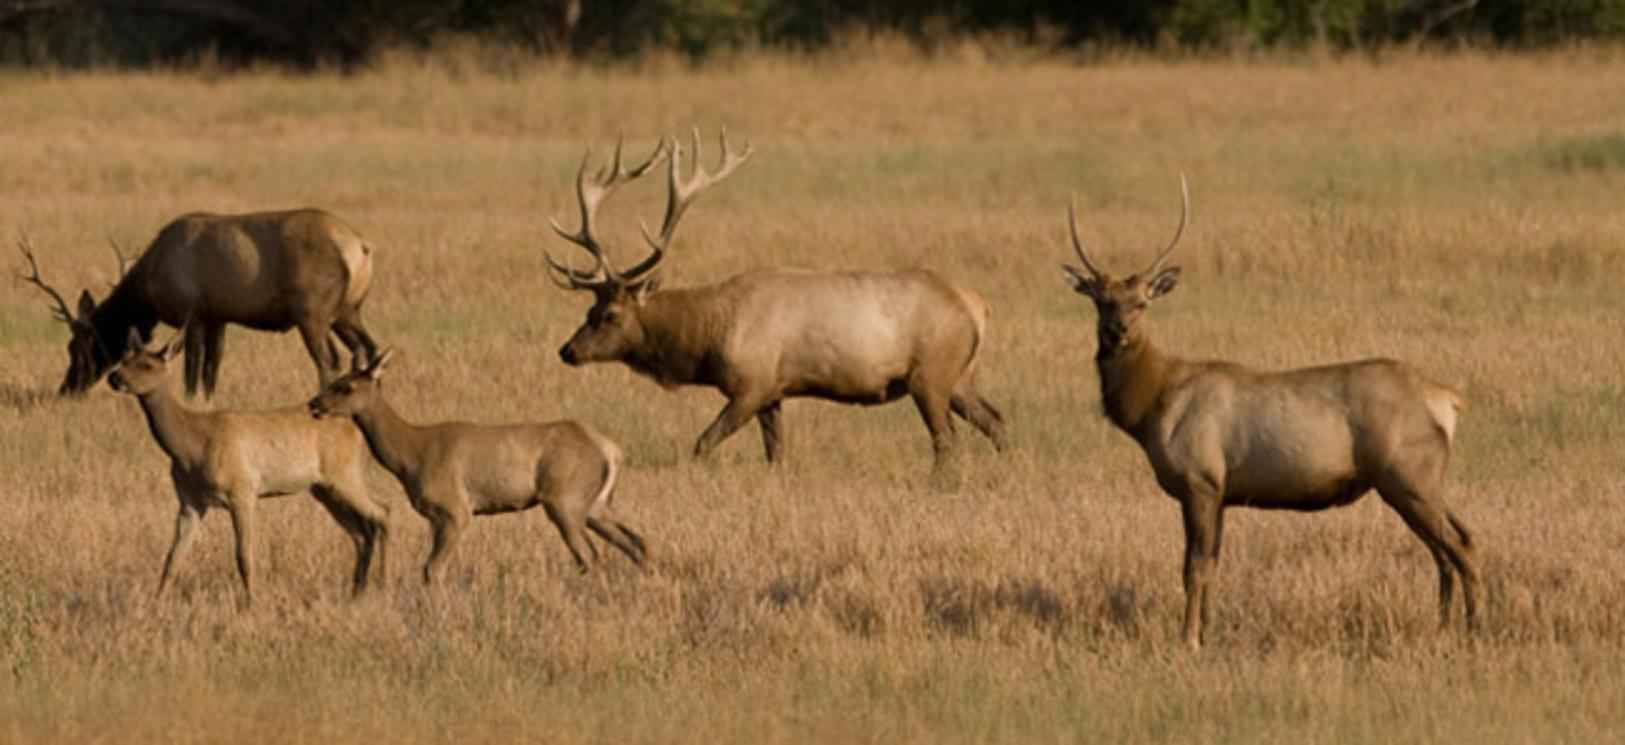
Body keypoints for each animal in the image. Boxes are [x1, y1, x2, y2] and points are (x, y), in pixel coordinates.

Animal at [18, 208, 381, 400]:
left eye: (76, 346)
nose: (66, 389)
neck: (149, 288)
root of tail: (361, 248)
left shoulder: (190, 314)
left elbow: (192, 368)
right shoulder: (217, 317)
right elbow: (211, 369)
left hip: (313, 313)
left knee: (330, 359)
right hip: (349, 311)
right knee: (368, 350)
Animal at [106, 328, 391, 607]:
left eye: (146, 365)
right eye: (124, 358)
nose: (113, 377)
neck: (192, 445)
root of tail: (356, 429)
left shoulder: (241, 490)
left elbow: (243, 555)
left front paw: (251, 604)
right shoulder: (189, 501)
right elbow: (173, 557)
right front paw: (156, 605)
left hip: (344, 473)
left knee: (382, 512)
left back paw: (379, 584)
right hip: (323, 488)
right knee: (361, 532)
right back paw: (357, 592)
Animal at [306, 348, 646, 584]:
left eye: (346, 387)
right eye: (335, 380)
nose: (314, 404)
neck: (410, 457)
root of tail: (610, 450)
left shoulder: (455, 509)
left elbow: (432, 569)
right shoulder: (436, 516)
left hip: (564, 497)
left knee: (589, 555)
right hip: (595, 503)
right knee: (636, 542)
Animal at [544, 130, 1008, 476]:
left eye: (610, 315)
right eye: (587, 311)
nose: (567, 351)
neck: (708, 339)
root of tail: (978, 307)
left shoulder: (752, 383)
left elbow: (703, 443)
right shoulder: (774, 393)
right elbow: (776, 455)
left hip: (930, 374)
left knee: (947, 441)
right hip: (959, 376)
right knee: (996, 422)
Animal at [1058, 175, 1480, 650]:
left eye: (1142, 301)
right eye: (1101, 300)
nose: (1118, 331)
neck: (1150, 407)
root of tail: (1447, 400)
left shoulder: (1200, 479)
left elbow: (1193, 568)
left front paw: (1189, 639)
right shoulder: (1220, 492)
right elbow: (1211, 566)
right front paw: (1208, 631)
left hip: (1407, 475)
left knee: (1459, 544)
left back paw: (1475, 627)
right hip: (1419, 480)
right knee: (1450, 545)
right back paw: (1444, 627)